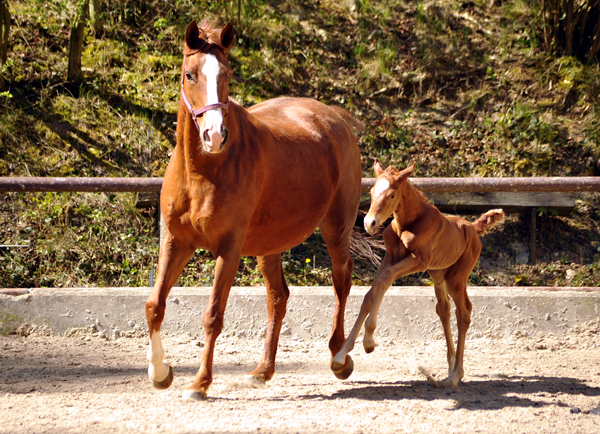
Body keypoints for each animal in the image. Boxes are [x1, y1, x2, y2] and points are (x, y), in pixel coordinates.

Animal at [330, 161, 504, 384]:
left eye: (392, 195)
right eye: (371, 191)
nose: (370, 223)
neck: (409, 222)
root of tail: (472, 228)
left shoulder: (418, 260)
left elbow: (384, 280)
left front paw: (368, 341)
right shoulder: (391, 257)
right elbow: (372, 293)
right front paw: (341, 356)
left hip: (456, 278)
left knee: (464, 311)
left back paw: (456, 374)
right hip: (438, 275)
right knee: (444, 310)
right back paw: (450, 367)